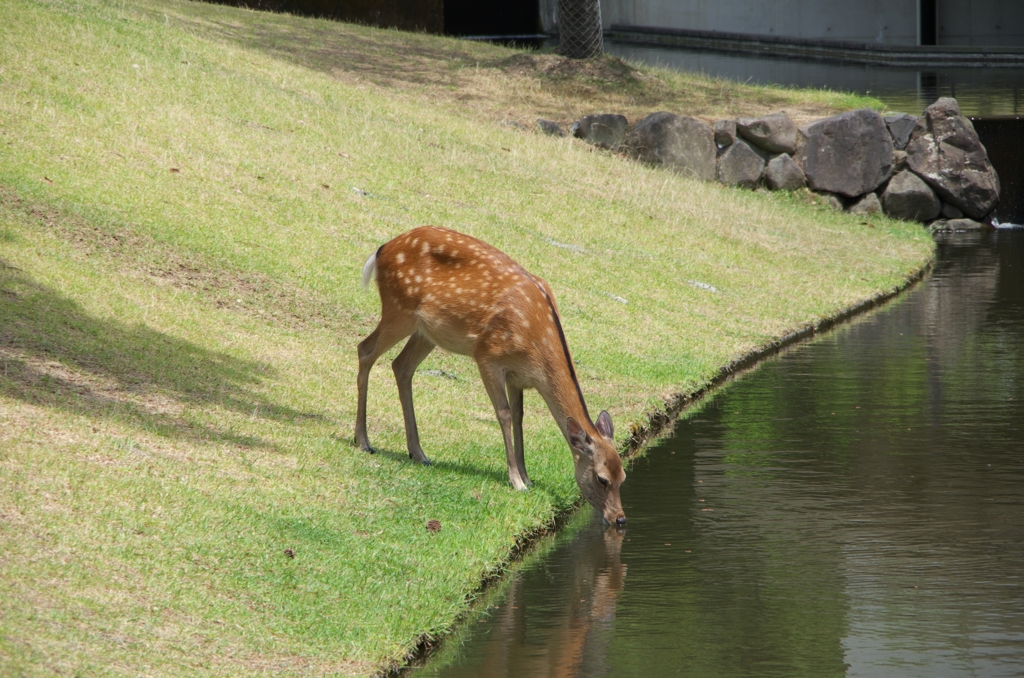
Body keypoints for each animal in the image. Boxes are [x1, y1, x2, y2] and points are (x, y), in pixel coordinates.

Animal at [352, 225, 626, 528]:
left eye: (623, 477)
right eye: (601, 478)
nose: (620, 518)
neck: (536, 345)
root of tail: (381, 250)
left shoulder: (518, 376)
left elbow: (519, 418)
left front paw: (527, 476)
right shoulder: (488, 356)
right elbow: (504, 414)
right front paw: (516, 480)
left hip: (426, 332)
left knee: (401, 366)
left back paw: (419, 453)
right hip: (399, 309)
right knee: (365, 349)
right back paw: (363, 441)